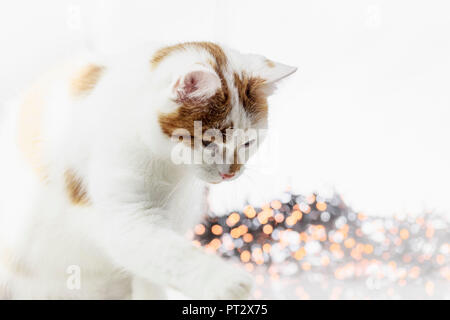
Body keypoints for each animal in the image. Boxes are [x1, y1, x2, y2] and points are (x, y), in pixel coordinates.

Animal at [0, 41, 296, 298]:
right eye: (207, 141)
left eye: (248, 142)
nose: (230, 173)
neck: (167, 166)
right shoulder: (124, 215)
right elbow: (169, 252)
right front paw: (226, 281)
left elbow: (151, 271)